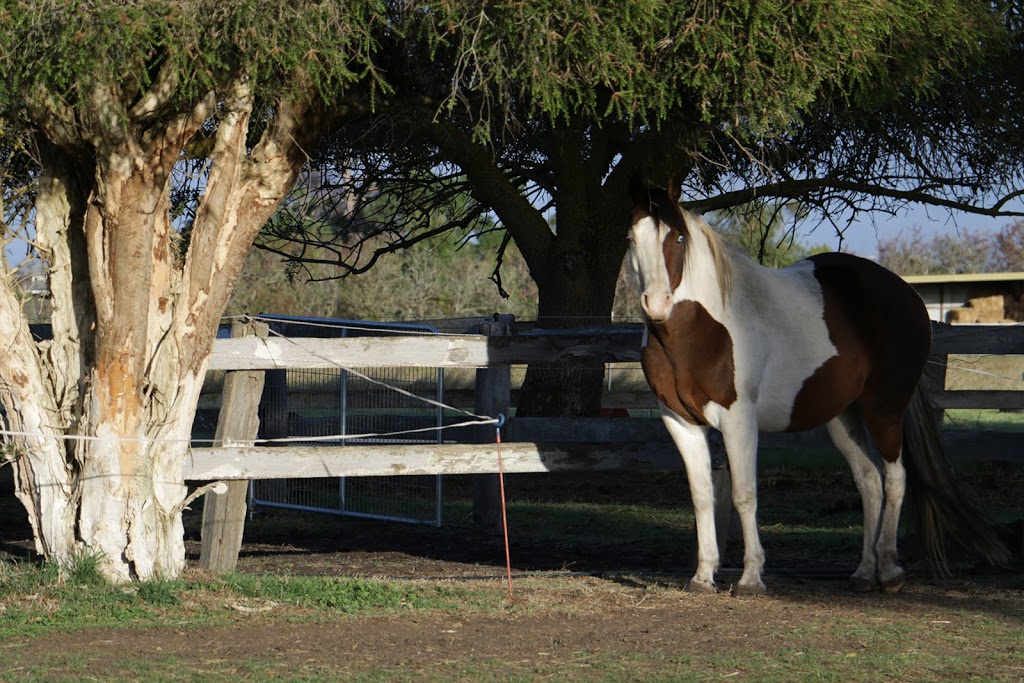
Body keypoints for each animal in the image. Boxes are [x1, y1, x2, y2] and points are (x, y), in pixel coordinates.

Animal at [626, 180, 1003, 593]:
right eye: (632, 238)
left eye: (677, 238)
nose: (656, 304)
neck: (704, 329)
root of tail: (906, 294)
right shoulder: (679, 420)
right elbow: (702, 496)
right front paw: (703, 575)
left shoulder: (739, 419)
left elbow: (744, 494)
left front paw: (751, 577)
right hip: (842, 418)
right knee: (869, 480)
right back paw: (863, 573)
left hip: (884, 410)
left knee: (895, 477)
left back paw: (889, 570)